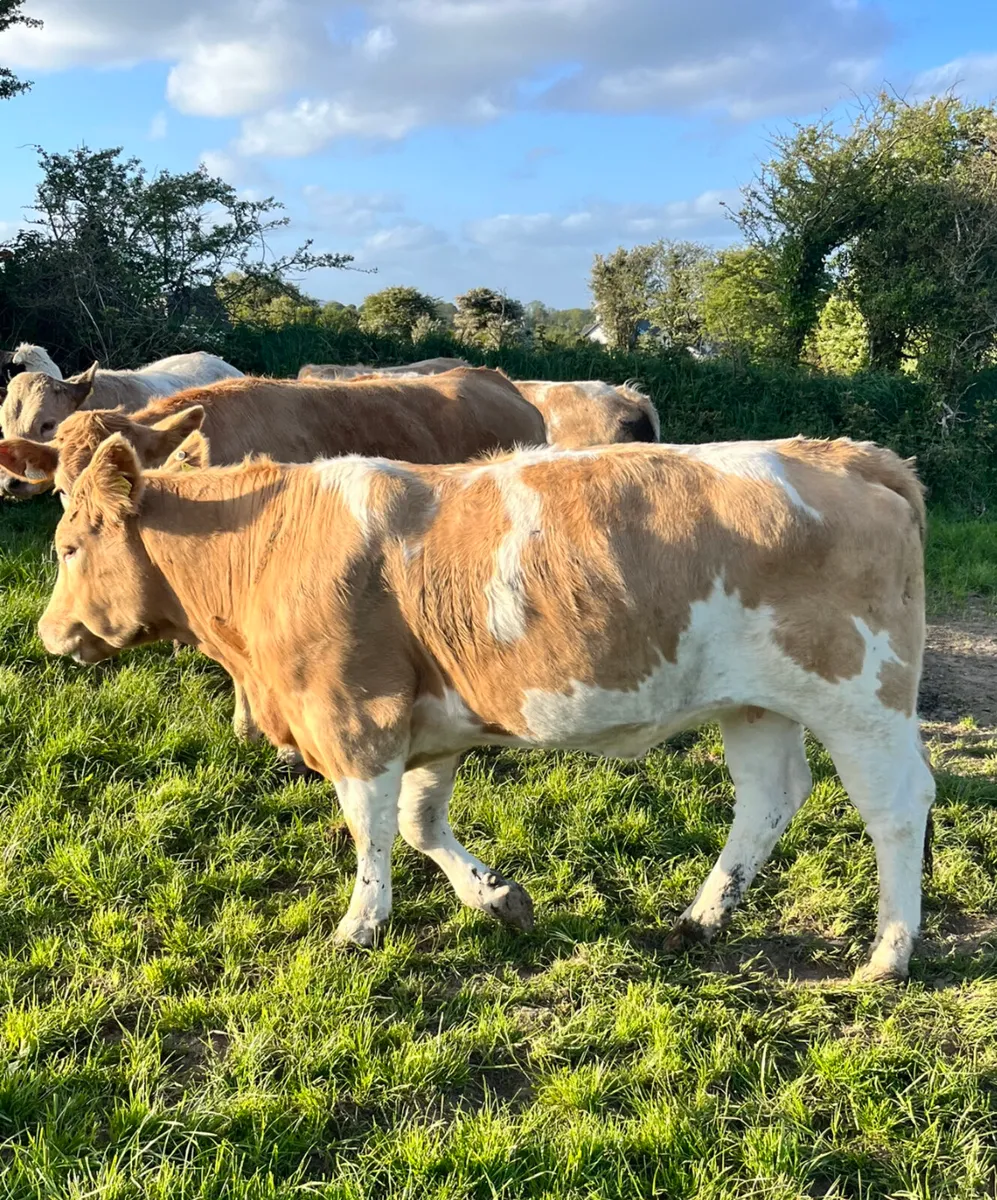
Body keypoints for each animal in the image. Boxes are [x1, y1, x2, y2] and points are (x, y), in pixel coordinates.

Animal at [36, 433, 934, 982]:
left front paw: (359, 926)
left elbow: (370, 829)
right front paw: (497, 897)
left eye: (69, 547)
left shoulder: (356, 715)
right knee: (767, 798)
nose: (47, 634)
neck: (268, 546)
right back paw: (699, 920)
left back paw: (886, 955)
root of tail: (839, 452)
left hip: (861, 696)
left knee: (896, 807)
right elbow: (418, 824)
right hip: (753, 701)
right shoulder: (431, 730)